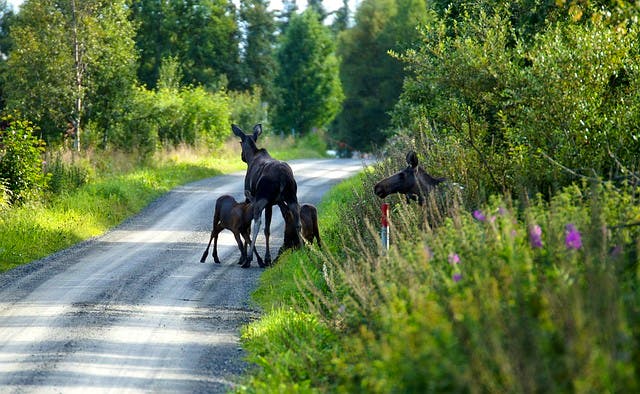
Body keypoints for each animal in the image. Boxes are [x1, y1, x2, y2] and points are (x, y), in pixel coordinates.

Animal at [231, 123, 302, 268]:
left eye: (240, 142)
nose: (242, 156)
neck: (252, 157)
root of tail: (282, 176)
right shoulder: (271, 204)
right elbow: (268, 230)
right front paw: (267, 257)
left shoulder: (249, 197)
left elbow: (248, 227)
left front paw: (244, 257)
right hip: (291, 196)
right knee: (296, 219)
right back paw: (303, 247)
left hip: (261, 199)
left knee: (257, 222)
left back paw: (249, 258)